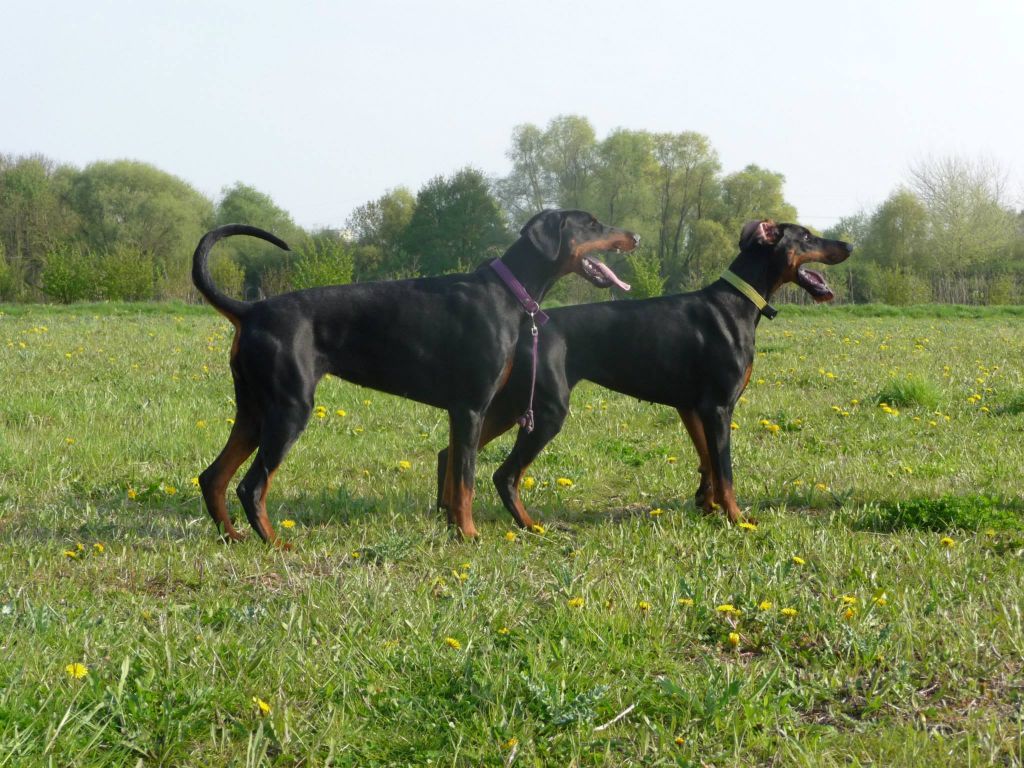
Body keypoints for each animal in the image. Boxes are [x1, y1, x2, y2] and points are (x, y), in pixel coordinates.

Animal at [192, 210, 634, 544]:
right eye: (592, 224)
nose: (635, 235)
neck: (507, 293)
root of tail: (251, 310)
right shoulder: (472, 409)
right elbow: (466, 480)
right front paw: (470, 535)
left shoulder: (462, 412)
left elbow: (455, 479)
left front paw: (455, 528)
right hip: (289, 410)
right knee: (251, 486)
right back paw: (275, 543)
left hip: (254, 412)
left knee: (212, 477)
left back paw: (234, 536)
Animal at [436, 219, 851, 528]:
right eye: (807, 236)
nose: (848, 245)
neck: (738, 302)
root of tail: (525, 325)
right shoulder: (719, 407)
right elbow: (726, 470)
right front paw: (735, 517)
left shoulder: (693, 407)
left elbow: (708, 462)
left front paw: (706, 505)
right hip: (546, 410)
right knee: (503, 474)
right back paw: (526, 524)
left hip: (512, 402)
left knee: (450, 451)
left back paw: (447, 512)